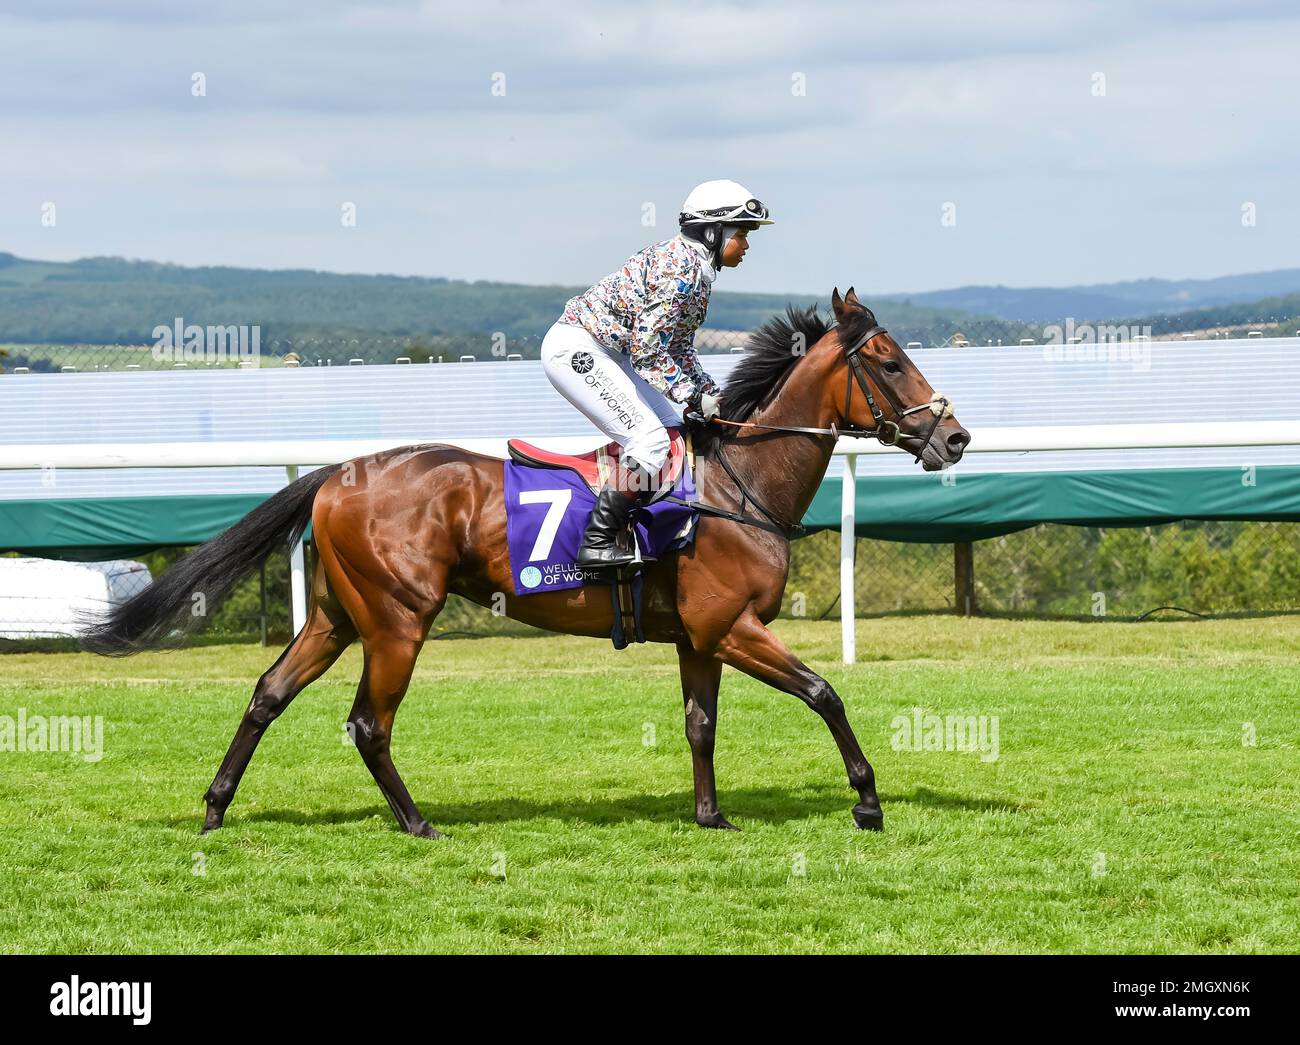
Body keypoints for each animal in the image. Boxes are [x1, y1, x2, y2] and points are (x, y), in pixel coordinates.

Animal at [81, 287, 972, 842]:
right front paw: (867, 800)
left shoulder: (700, 637)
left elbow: (701, 724)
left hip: (337, 616)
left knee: (268, 694)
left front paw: (712, 816)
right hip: (397, 621)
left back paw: (214, 808)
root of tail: (338, 474)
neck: (736, 483)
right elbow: (825, 693)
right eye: (889, 361)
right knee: (369, 723)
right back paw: (417, 822)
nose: (956, 436)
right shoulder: (733, 625)